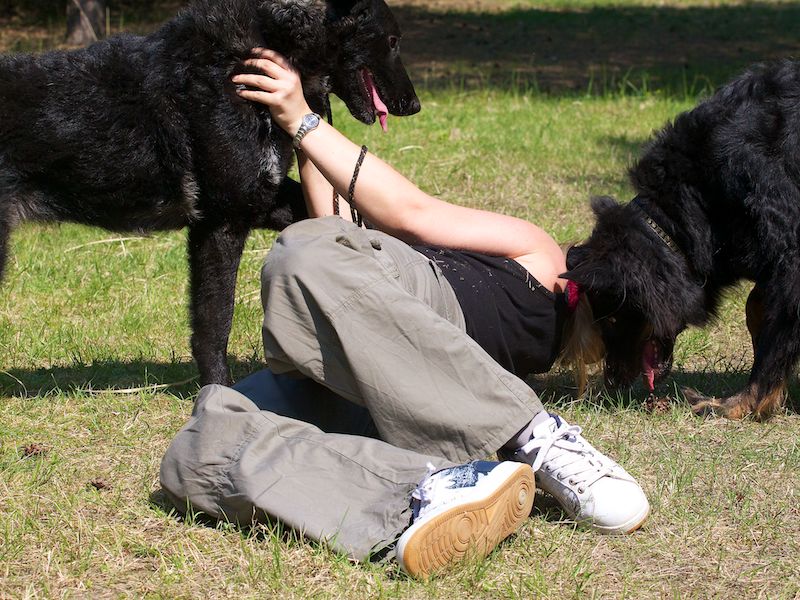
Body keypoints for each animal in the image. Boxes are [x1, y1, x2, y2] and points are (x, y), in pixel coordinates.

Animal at [0, 0, 420, 386]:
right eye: (393, 41)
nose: (414, 106)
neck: (257, 50)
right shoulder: (222, 222)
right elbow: (215, 321)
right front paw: (217, 390)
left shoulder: (258, 201)